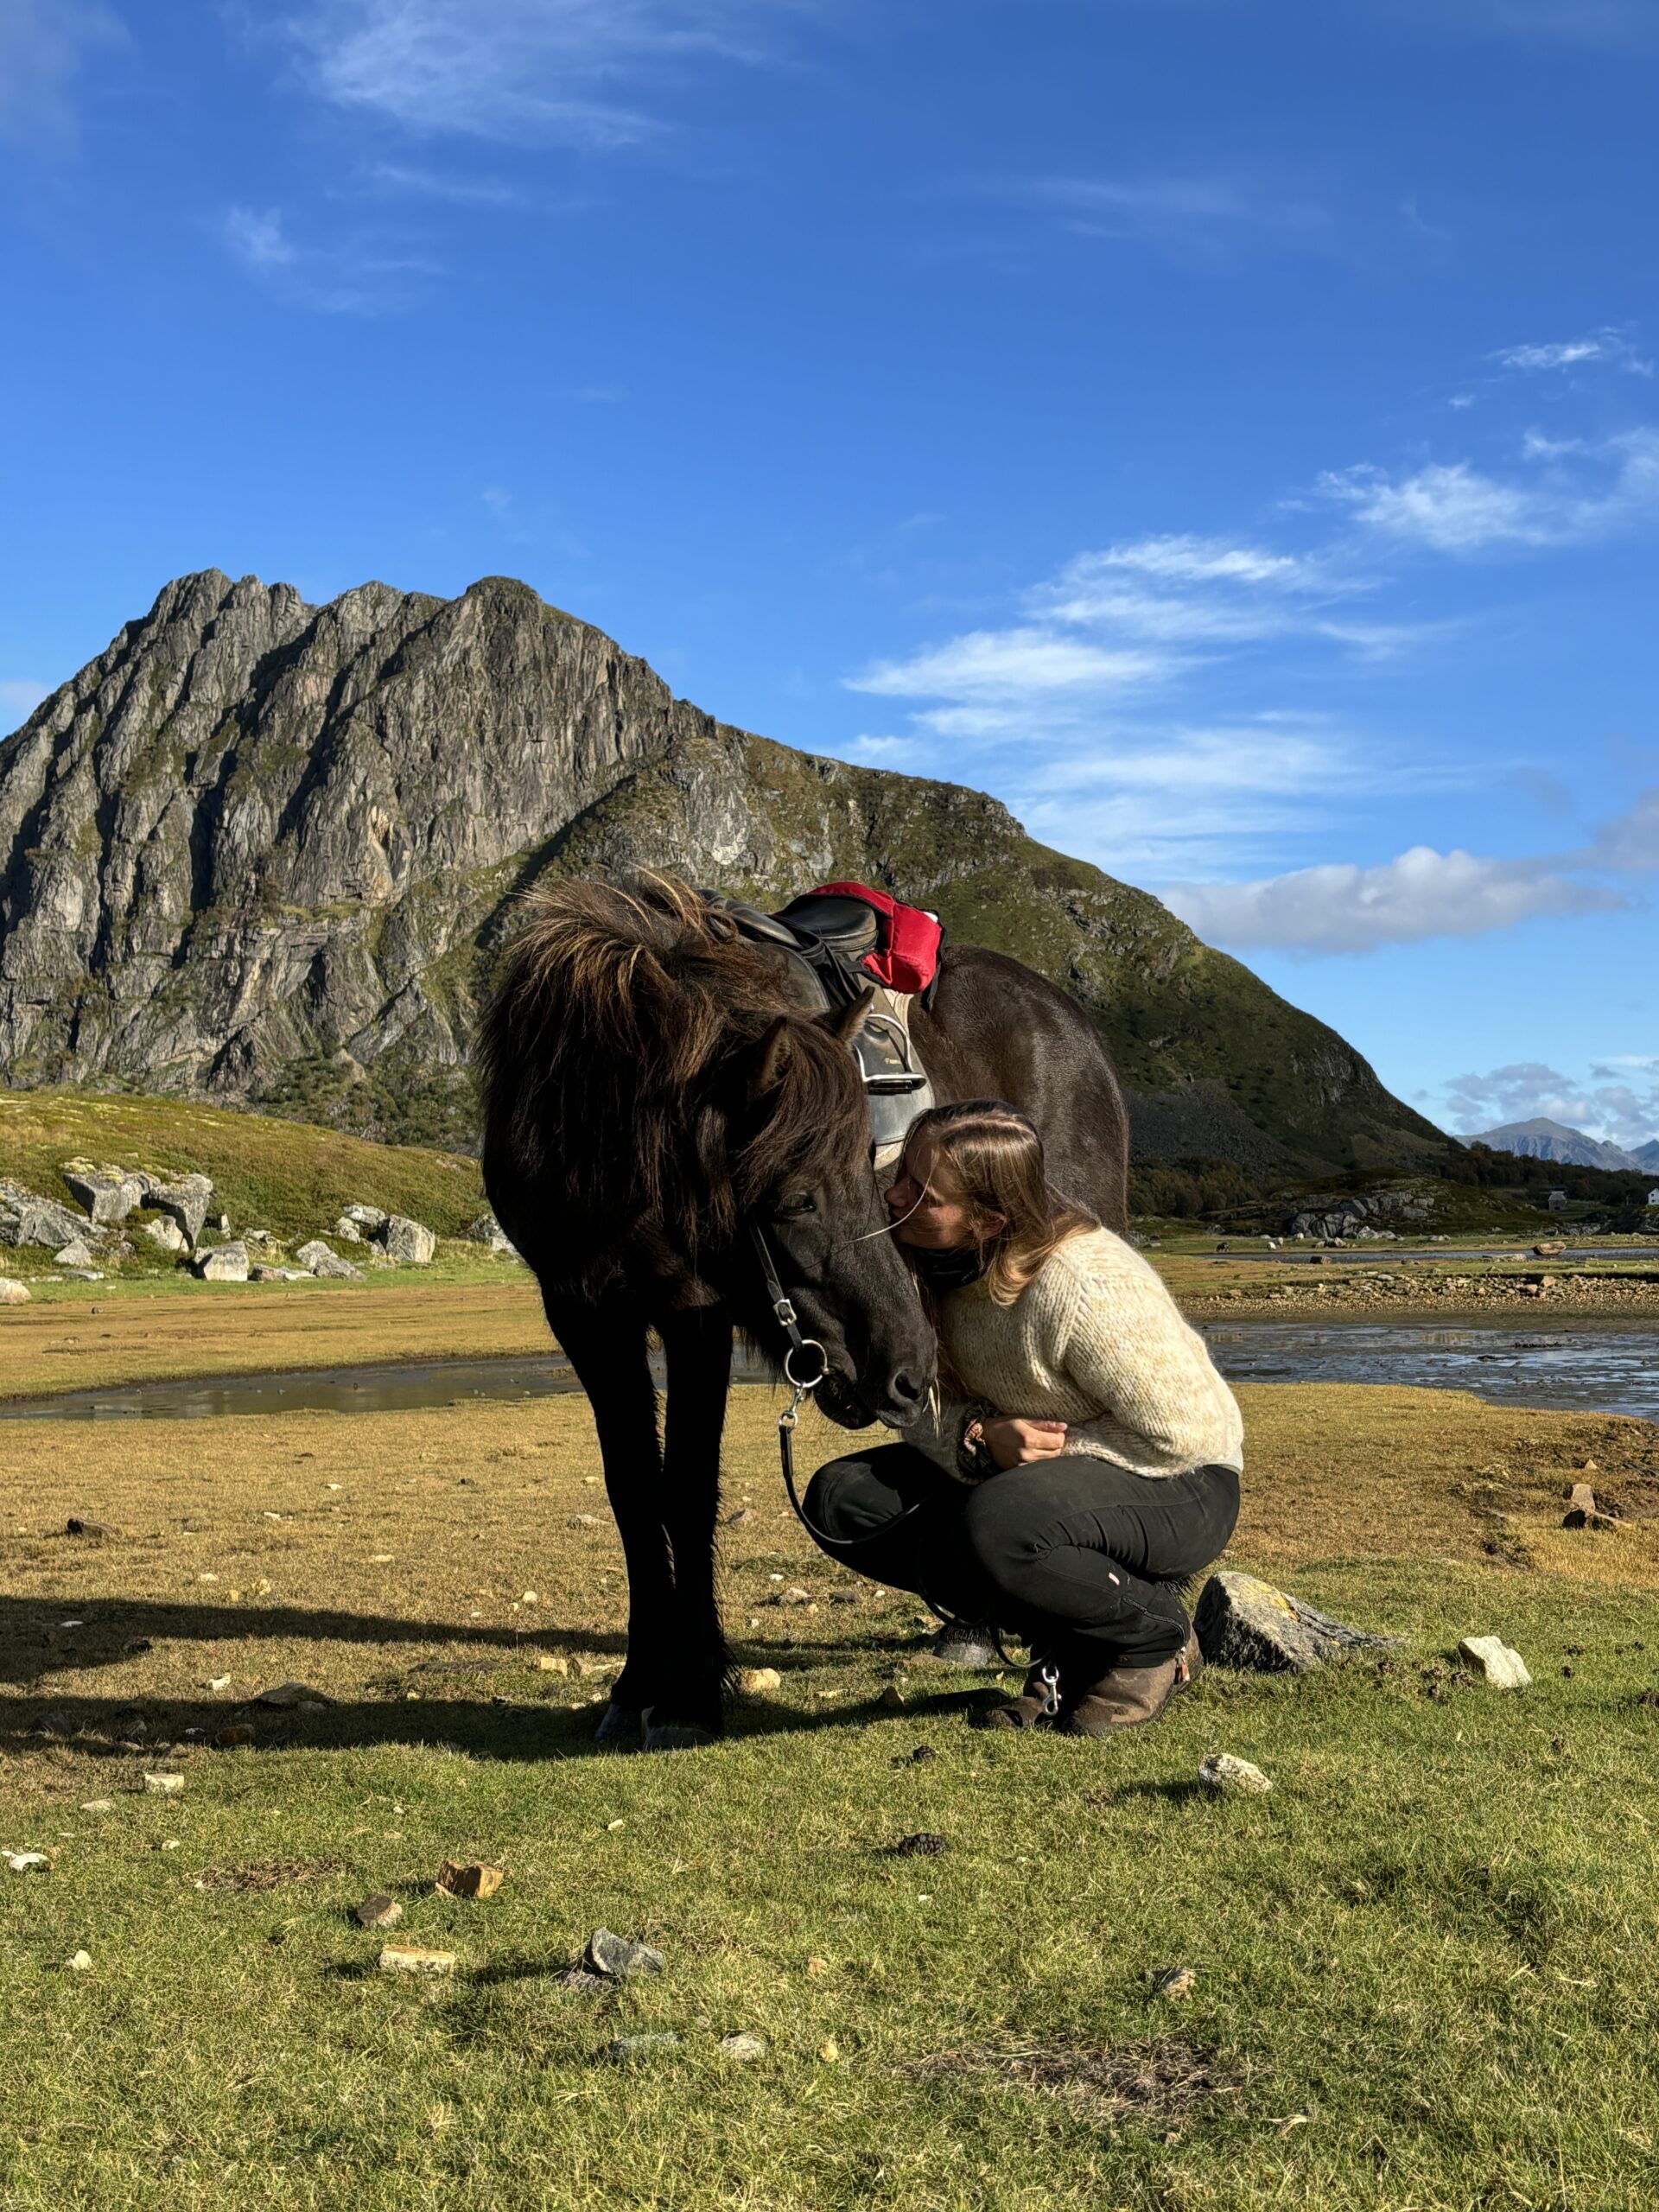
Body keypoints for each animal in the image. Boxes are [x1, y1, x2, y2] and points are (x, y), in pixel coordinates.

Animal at [480, 872, 1129, 1750]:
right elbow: (634, 1494)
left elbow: (689, 1488)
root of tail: (1073, 1022)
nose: (907, 1372)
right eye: (794, 1198)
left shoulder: (694, 1311)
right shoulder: (584, 1314)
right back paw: (972, 1627)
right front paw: (639, 1682)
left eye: (868, 1168)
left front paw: (689, 1694)